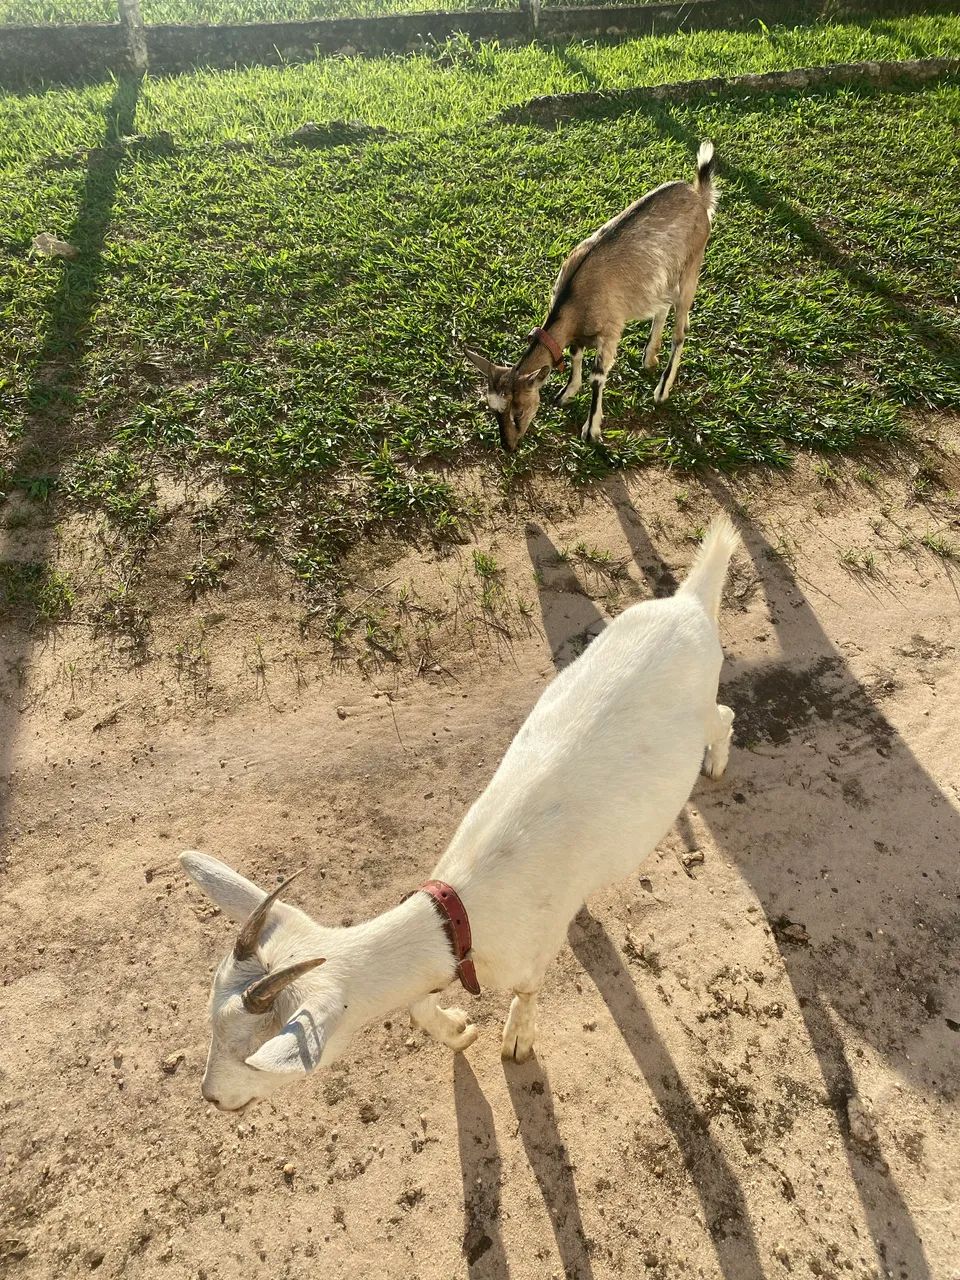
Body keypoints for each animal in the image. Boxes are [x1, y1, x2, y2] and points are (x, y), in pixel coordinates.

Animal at [180, 515, 740, 1112]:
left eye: (253, 1055)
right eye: (212, 1027)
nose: (211, 1097)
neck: (461, 912)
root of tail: (689, 603)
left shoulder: (531, 954)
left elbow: (526, 993)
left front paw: (516, 1040)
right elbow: (418, 1003)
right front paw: (456, 1030)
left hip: (701, 708)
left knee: (725, 713)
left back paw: (715, 763)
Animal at [466, 140, 717, 451]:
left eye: (519, 411)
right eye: (493, 410)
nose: (508, 447)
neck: (574, 299)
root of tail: (699, 195)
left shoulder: (610, 330)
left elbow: (597, 376)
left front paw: (591, 430)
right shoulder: (579, 333)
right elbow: (574, 355)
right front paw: (567, 392)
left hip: (692, 266)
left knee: (680, 330)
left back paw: (661, 390)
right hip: (662, 277)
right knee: (662, 307)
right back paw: (649, 358)